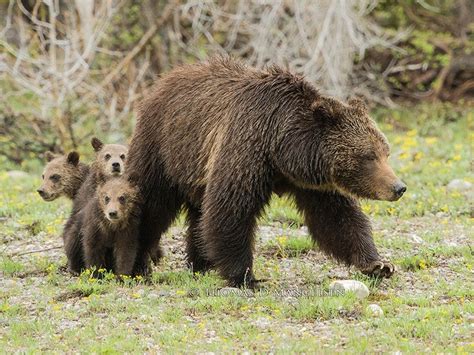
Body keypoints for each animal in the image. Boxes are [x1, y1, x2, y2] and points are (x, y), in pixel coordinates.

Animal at [128, 57, 406, 288]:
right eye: (369, 156)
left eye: (386, 152)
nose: (399, 187)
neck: (282, 149)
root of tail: (163, 79)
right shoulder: (247, 149)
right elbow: (231, 210)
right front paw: (246, 277)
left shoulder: (313, 183)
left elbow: (337, 218)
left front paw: (379, 264)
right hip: (162, 148)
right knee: (151, 205)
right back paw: (138, 265)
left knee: (199, 213)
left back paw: (202, 264)